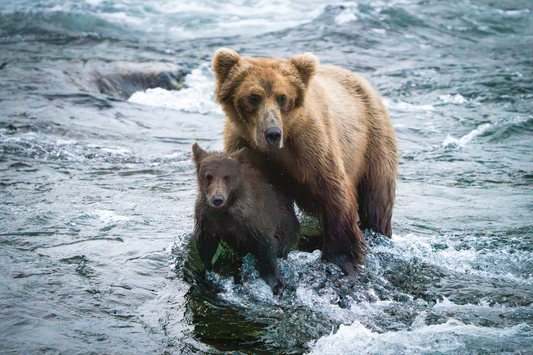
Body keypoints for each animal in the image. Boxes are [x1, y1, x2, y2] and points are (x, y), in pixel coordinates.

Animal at [210, 48, 396, 278]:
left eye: (282, 97)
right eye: (253, 97)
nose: (272, 133)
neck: (277, 151)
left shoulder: (312, 147)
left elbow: (335, 194)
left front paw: (342, 259)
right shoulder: (248, 153)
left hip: (373, 140)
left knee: (377, 198)